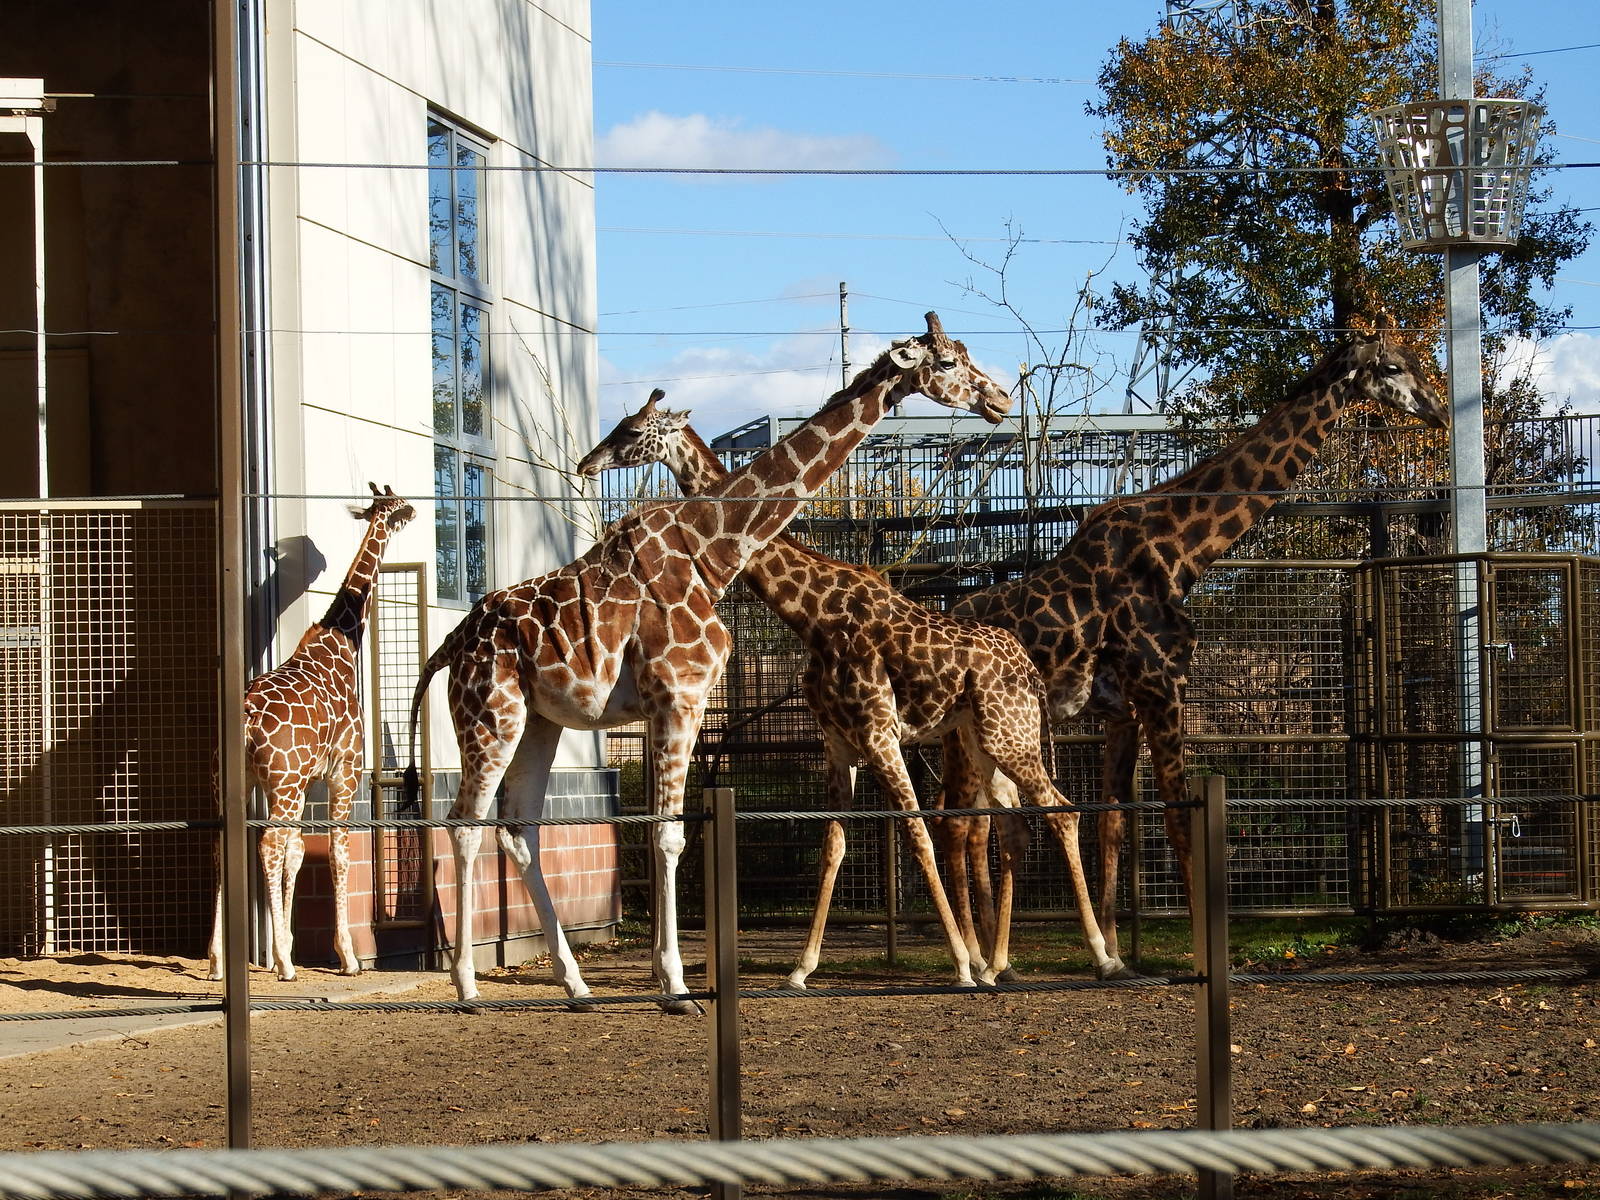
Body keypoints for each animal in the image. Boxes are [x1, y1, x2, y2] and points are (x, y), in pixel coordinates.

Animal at [208, 484, 415, 981]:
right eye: (397, 505)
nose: (415, 510)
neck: (340, 644)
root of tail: (245, 717)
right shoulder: (344, 770)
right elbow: (338, 852)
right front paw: (346, 956)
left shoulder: (304, 783)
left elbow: (299, 852)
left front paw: (287, 943)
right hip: (282, 784)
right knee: (266, 844)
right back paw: (284, 965)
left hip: (237, 781)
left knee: (226, 844)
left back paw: (218, 962)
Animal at [405, 313, 1011, 1011]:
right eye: (948, 363)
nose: (999, 400)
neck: (713, 553)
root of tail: (451, 643)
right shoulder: (681, 695)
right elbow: (669, 833)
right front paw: (675, 985)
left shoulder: (672, 705)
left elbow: (664, 831)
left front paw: (671, 977)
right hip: (489, 714)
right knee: (464, 824)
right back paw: (467, 985)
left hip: (539, 721)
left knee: (519, 829)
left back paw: (576, 983)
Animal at [575, 392, 1118, 986]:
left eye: (633, 430)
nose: (588, 463)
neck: (812, 613)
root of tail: (1030, 671)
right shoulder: (837, 742)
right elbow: (833, 845)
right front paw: (800, 969)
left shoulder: (881, 736)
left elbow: (916, 833)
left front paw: (959, 966)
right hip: (986, 741)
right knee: (1016, 827)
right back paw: (1000, 965)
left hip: (1010, 738)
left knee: (1061, 813)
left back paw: (1101, 956)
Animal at [943, 325, 1448, 969]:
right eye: (1391, 366)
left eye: (1414, 360)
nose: (1437, 411)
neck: (1183, 552)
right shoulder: (1162, 688)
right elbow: (1180, 822)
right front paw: (1203, 956)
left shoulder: (1125, 708)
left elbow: (1114, 822)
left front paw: (1115, 951)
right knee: (956, 825)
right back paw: (973, 959)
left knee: (973, 825)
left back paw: (990, 956)